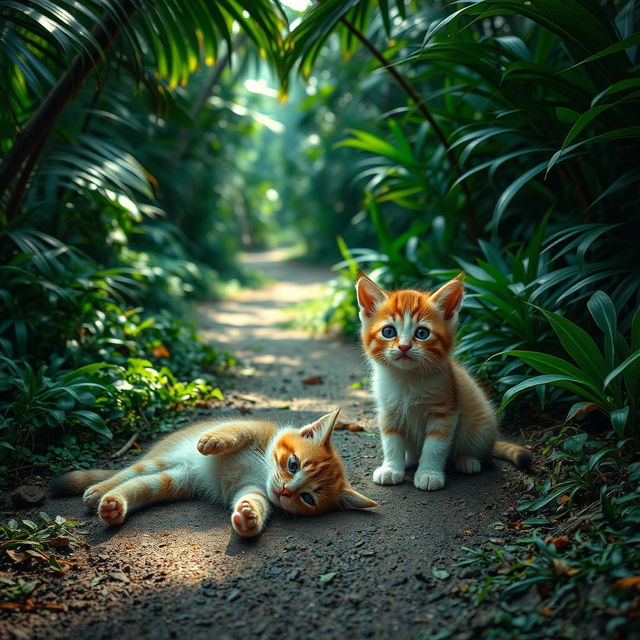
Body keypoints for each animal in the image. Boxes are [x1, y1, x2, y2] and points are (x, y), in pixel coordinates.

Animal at [53, 410, 380, 536]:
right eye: (292, 464)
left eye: (309, 498)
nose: (285, 491)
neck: (261, 471)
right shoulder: (256, 430)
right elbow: (238, 429)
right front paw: (214, 440)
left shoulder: (255, 489)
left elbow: (254, 501)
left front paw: (249, 517)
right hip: (159, 461)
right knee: (124, 474)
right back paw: (98, 491)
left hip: (173, 480)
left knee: (138, 486)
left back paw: (112, 506)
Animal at [356, 272, 528, 490]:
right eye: (388, 332)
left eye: (422, 333)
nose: (404, 347)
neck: (408, 379)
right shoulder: (389, 411)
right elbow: (391, 441)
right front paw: (391, 468)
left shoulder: (445, 411)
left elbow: (435, 446)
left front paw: (429, 474)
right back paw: (409, 459)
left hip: (481, 425)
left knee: (480, 451)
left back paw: (467, 460)